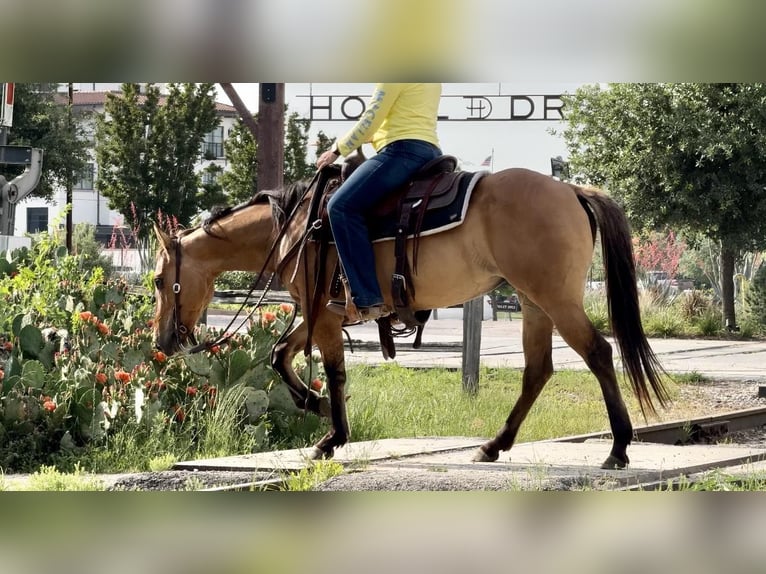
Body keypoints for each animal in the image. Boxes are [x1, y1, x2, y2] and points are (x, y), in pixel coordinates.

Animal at [153, 160, 668, 470]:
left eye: (158, 281)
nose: (164, 342)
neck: (299, 226)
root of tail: (571, 189)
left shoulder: (324, 315)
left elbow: (333, 372)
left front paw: (331, 435)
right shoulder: (319, 313)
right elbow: (281, 353)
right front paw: (316, 407)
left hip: (555, 299)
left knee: (598, 353)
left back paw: (618, 448)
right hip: (533, 303)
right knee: (537, 370)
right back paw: (493, 445)